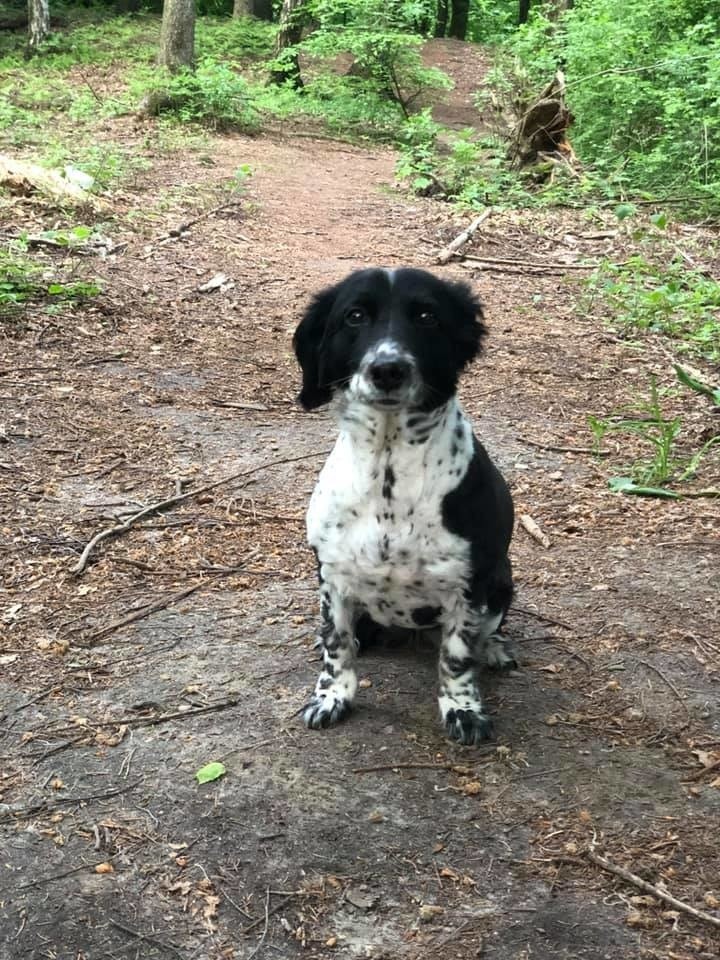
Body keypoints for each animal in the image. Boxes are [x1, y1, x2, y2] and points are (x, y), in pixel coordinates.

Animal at [290, 266, 516, 748]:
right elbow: (336, 646)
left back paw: (494, 649)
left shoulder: (469, 585)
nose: (387, 369)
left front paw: (463, 710)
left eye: (427, 316)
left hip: (503, 581)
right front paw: (332, 697)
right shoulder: (331, 576)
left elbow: (456, 657)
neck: (388, 475)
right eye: (355, 315)